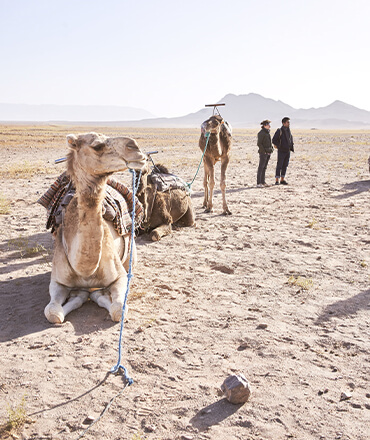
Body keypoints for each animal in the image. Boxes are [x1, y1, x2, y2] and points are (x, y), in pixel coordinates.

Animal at [43, 131, 146, 324]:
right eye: (97, 146)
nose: (135, 147)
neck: (85, 270)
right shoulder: (57, 281)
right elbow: (53, 313)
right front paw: (80, 295)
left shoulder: (120, 276)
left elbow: (118, 309)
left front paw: (98, 294)